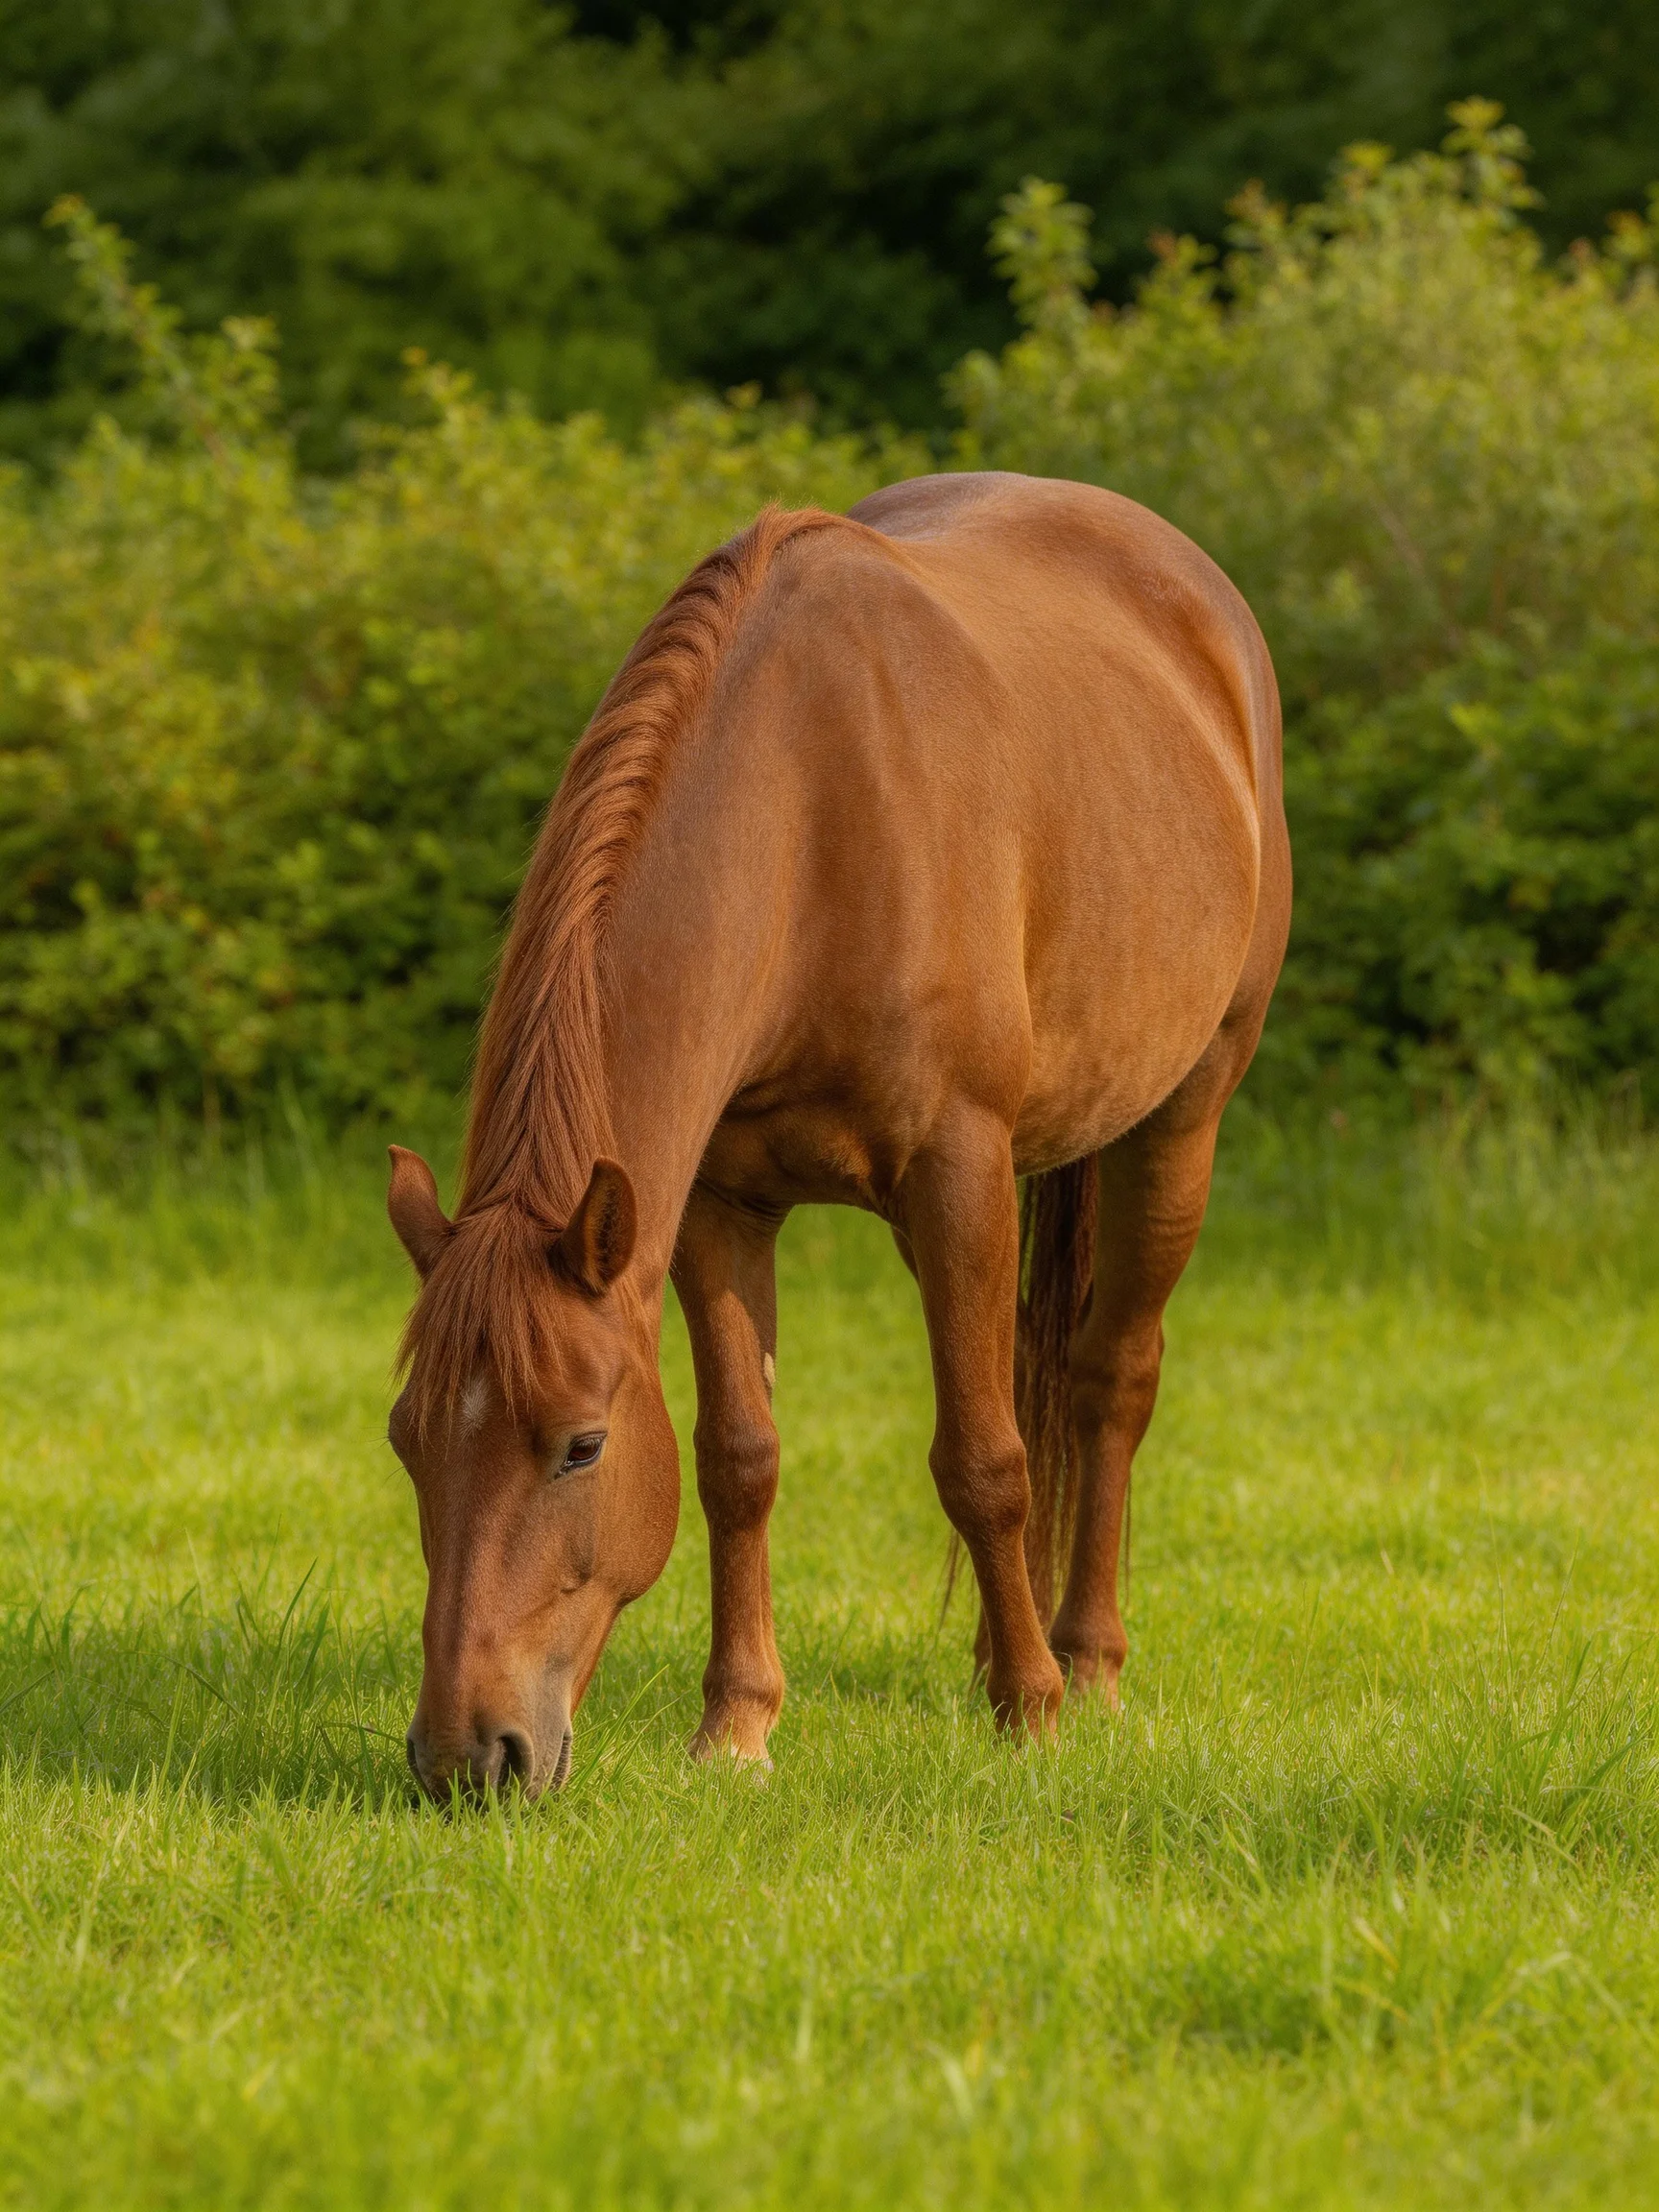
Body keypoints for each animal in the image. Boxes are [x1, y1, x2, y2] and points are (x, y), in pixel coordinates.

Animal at [386, 470, 1290, 1800]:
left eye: (582, 1448)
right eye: (407, 1442)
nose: (467, 1759)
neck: (810, 816)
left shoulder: (959, 1171)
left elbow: (985, 1460)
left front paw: (1033, 1717)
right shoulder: (713, 1206)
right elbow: (739, 1459)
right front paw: (737, 1726)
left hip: (1182, 1117)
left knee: (1109, 1381)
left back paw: (1082, 1665)